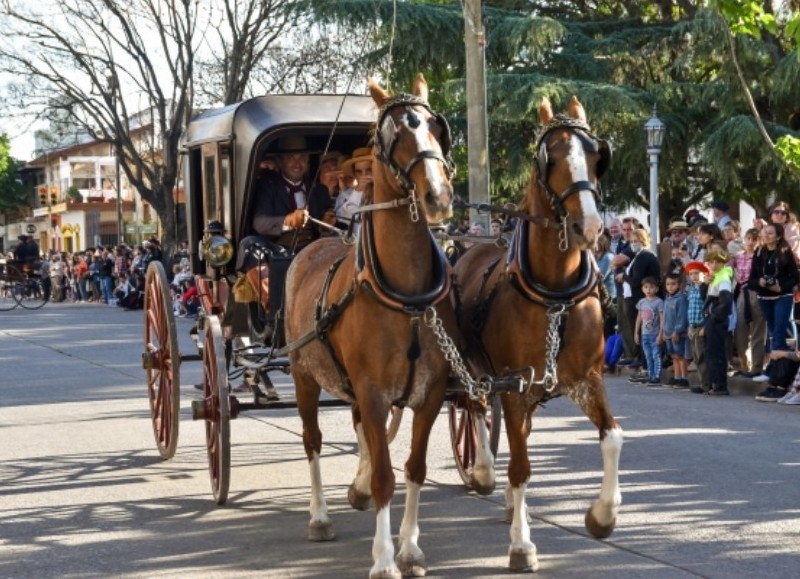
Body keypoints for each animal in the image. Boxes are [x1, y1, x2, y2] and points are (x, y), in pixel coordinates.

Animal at [282, 75, 456, 576]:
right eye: (392, 135)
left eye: (436, 127)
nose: (438, 197)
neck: (405, 295)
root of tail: (315, 242)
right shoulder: (375, 392)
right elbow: (384, 476)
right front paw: (384, 559)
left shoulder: (429, 395)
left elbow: (414, 468)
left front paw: (410, 548)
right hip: (304, 375)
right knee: (313, 441)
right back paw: (320, 516)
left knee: (358, 431)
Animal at [454, 97, 620, 572]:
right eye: (552, 158)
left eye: (596, 156)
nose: (591, 227)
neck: (554, 294)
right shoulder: (513, 383)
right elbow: (522, 466)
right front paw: (521, 544)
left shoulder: (586, 379)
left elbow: (612, 437)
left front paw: (602, 515)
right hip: (476, 370)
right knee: (474, 408)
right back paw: (484, 472)